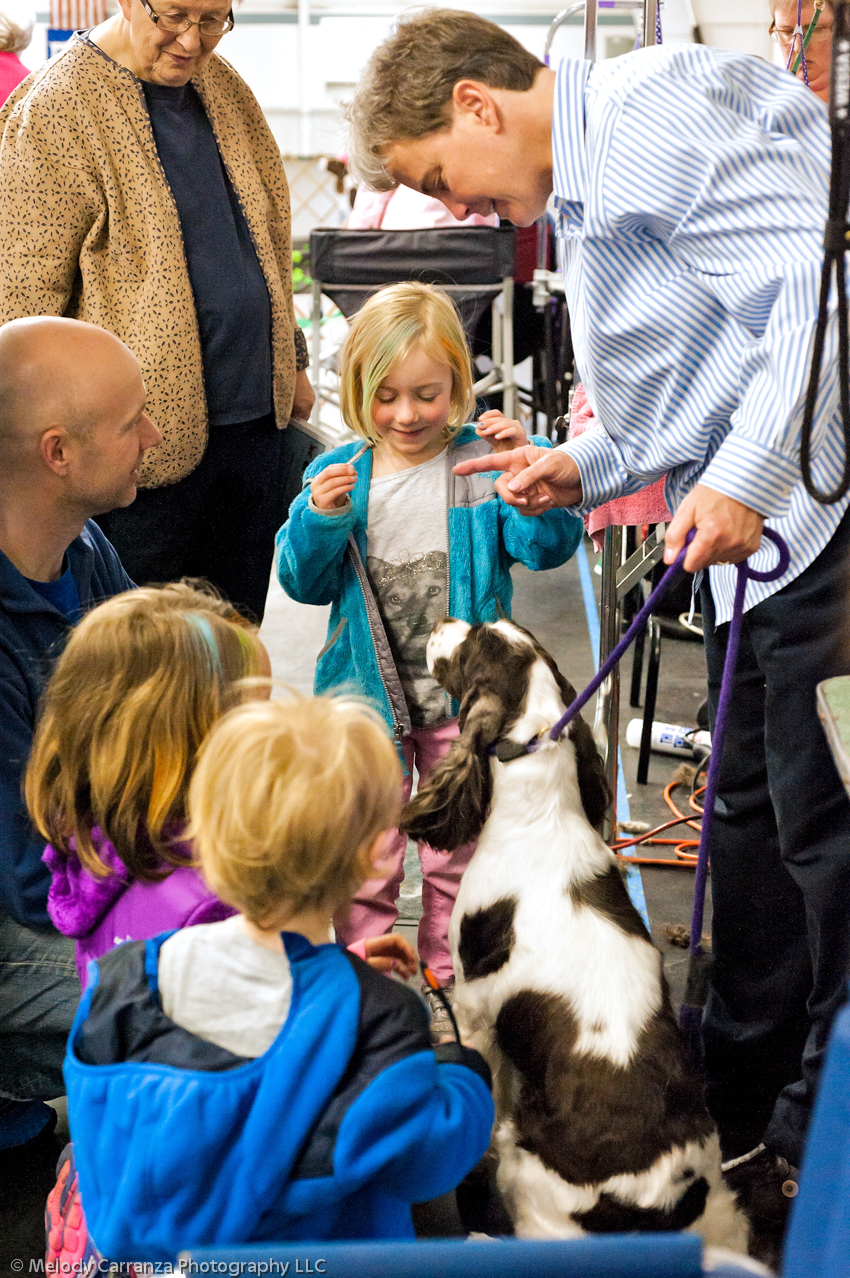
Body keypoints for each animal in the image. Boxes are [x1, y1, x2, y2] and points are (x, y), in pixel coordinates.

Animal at [401, 618, 746, 1247]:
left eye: (472, 640)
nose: (441, 624)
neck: (541, 815)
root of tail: (656, 1207)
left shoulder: (477, 1010)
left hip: (529, 1171)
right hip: (722, 1213)